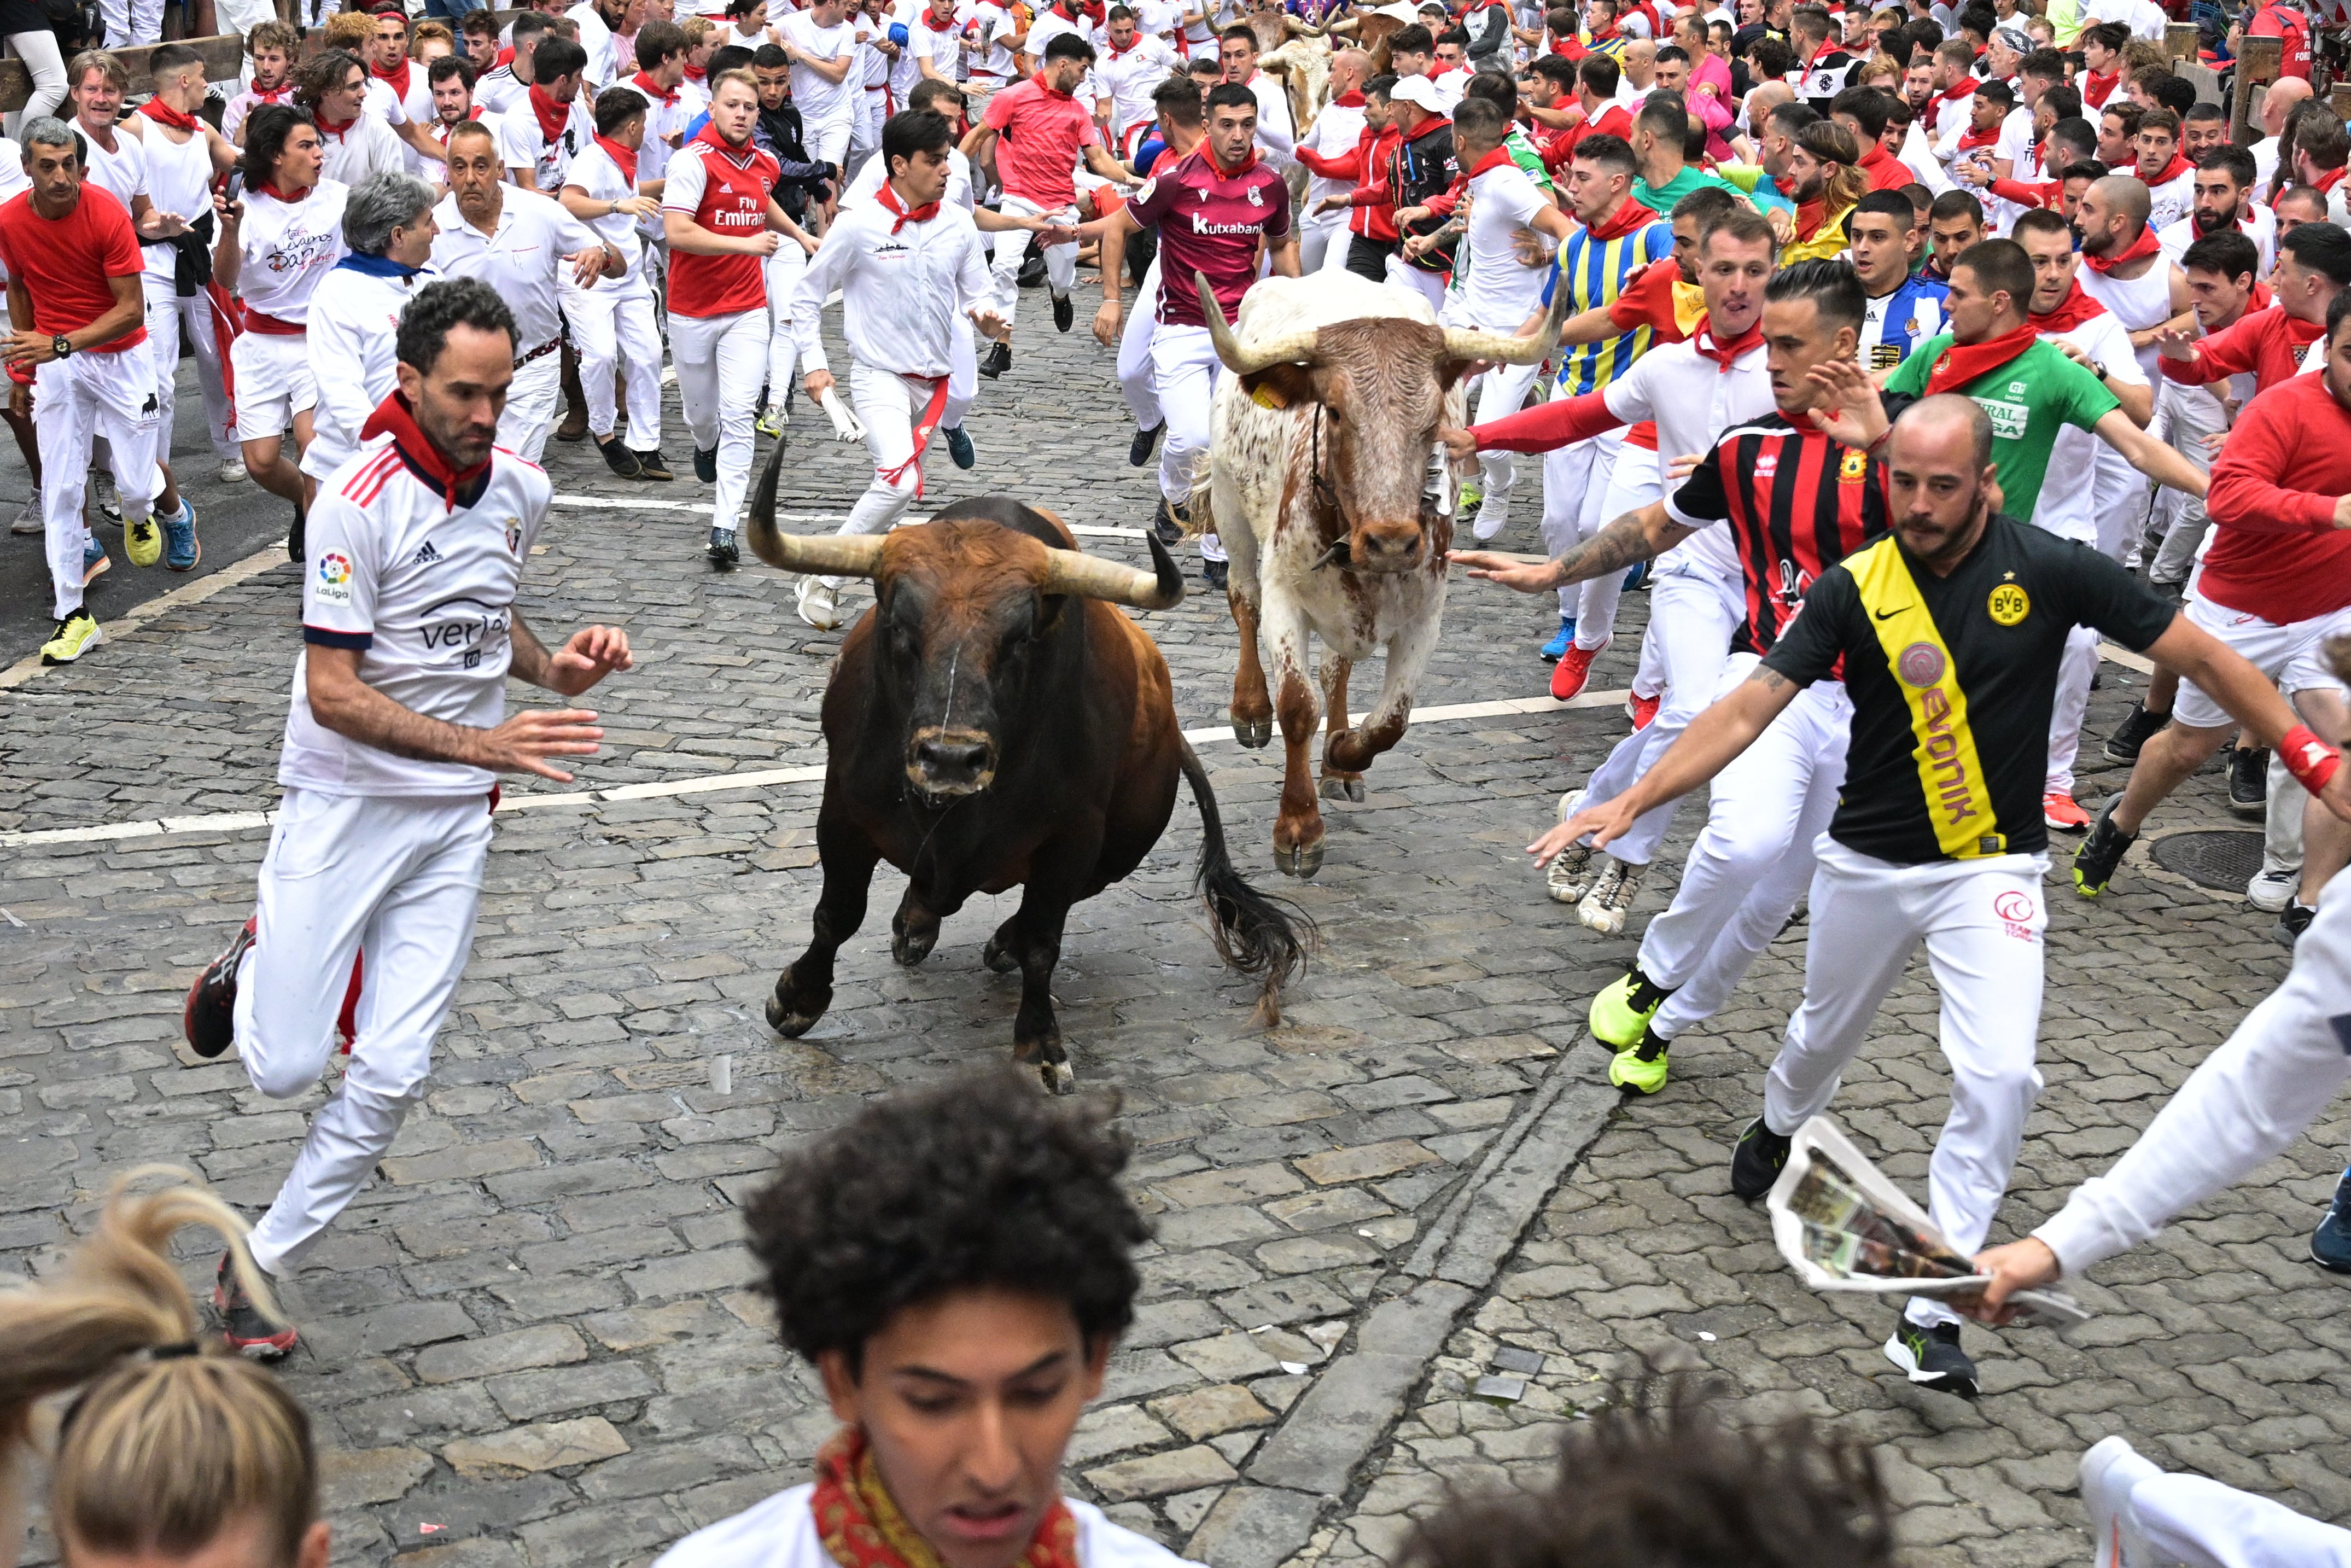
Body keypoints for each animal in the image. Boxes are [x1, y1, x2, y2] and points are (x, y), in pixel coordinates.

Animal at [748, 442, 1316, 1086]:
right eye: (898, 625)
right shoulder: (843, 810)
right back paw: (918, 924)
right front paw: (797, 996)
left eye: (1020, 638)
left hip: (1121, 846)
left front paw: (1040, 1041)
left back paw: (995, 941)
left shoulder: (1072, 840)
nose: (950, 757)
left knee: (1037, 915)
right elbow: (837, 913)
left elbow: (1045, 940)